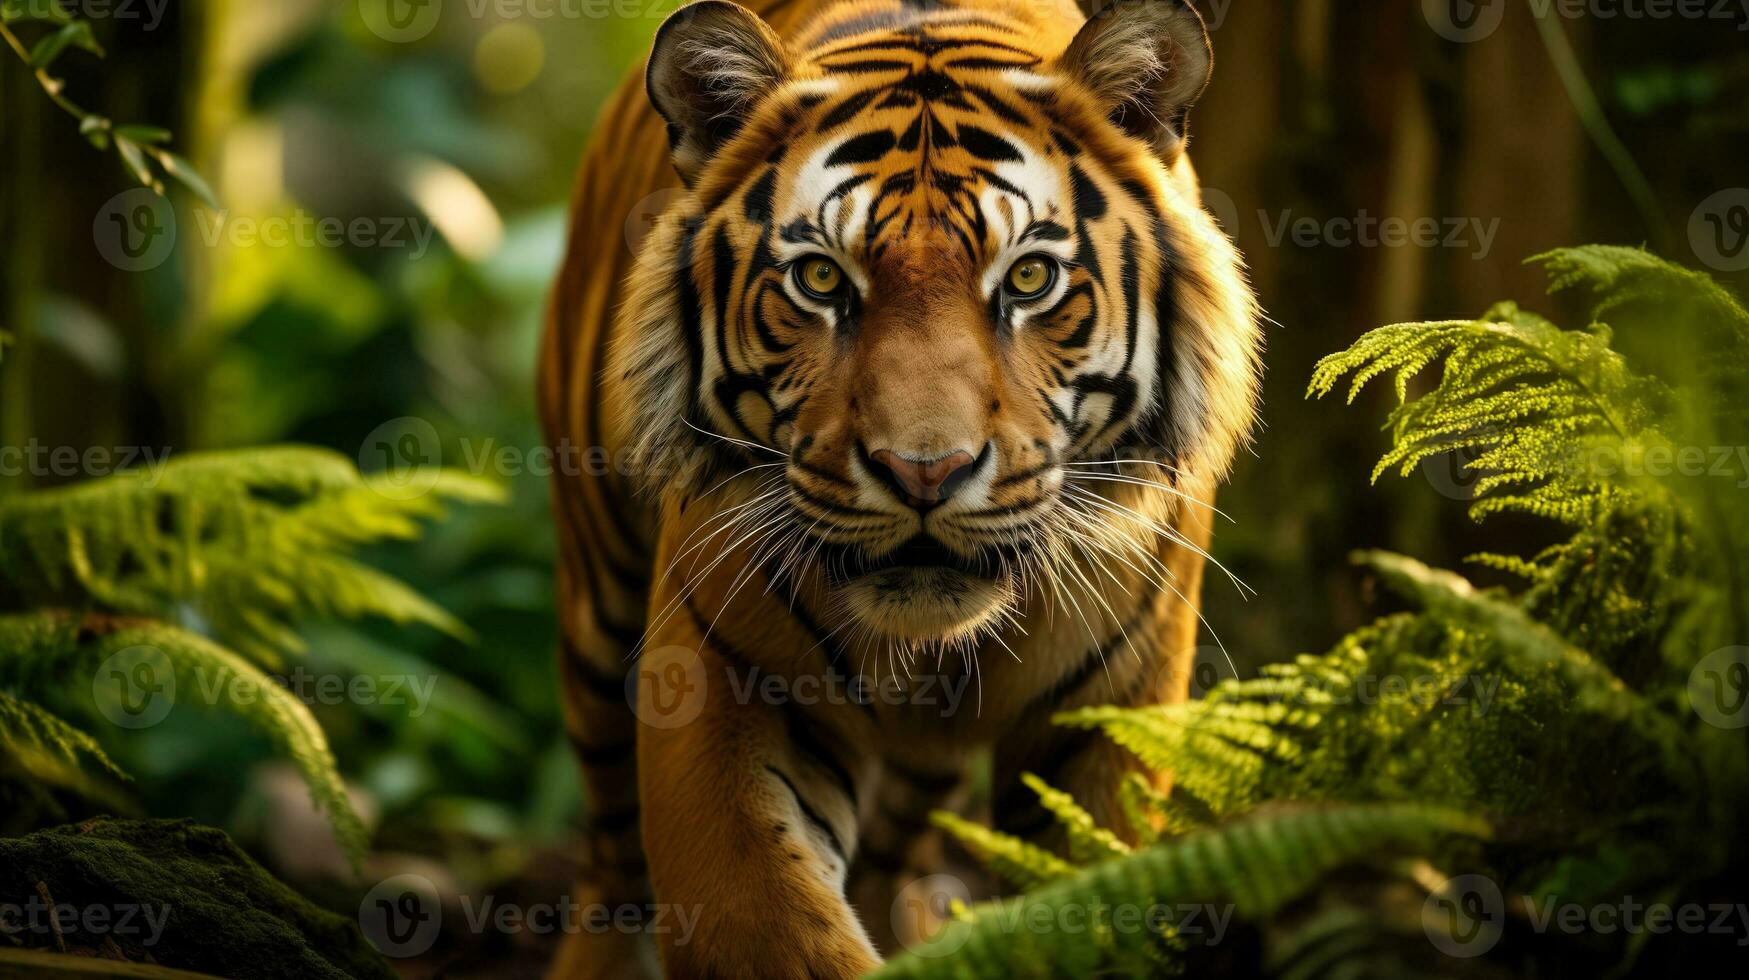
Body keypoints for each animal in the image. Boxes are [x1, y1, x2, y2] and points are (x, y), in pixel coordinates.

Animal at [538, 0, 1266, 973]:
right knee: (611, 856)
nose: (926, 471)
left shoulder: (1113, 718)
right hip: (598, 609)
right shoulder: (722, 682)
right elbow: (766, 918)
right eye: (820, 279)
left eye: (1029, 277)